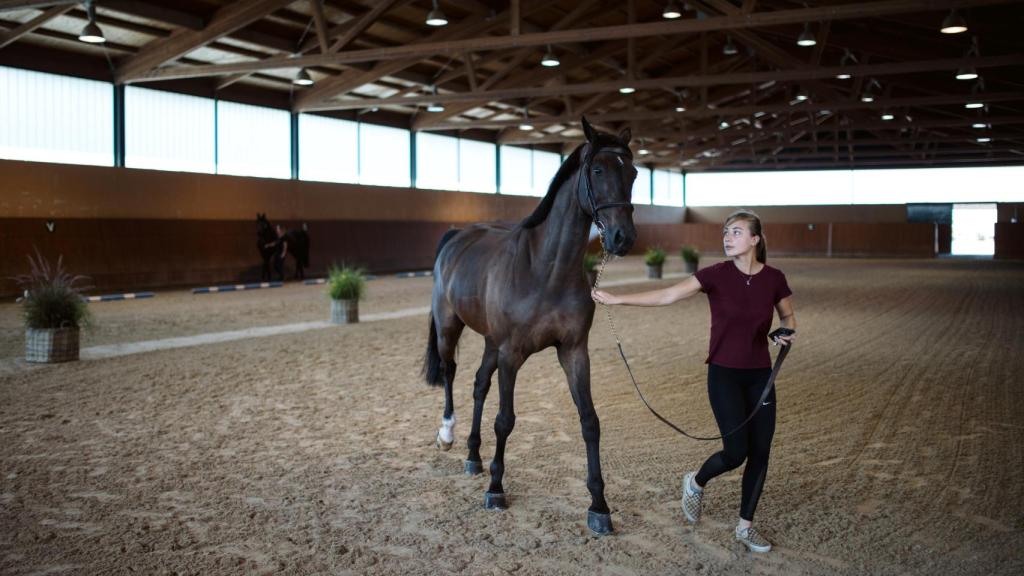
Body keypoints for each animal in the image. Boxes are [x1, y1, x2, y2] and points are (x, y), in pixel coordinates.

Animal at [421, 117, 637, 535]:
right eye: (598, 170)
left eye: (633, 173)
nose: (623, 238)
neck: (545, 270)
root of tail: (457, 236)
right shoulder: (512, 354)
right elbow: (505, 421)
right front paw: (495, 489)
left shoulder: (573, 352)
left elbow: (590, 421)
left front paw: (599, 506)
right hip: (450, 328)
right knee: (451, 374)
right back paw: (447, 435)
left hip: (490, 343)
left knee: (478, 385)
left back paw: (473, 455)